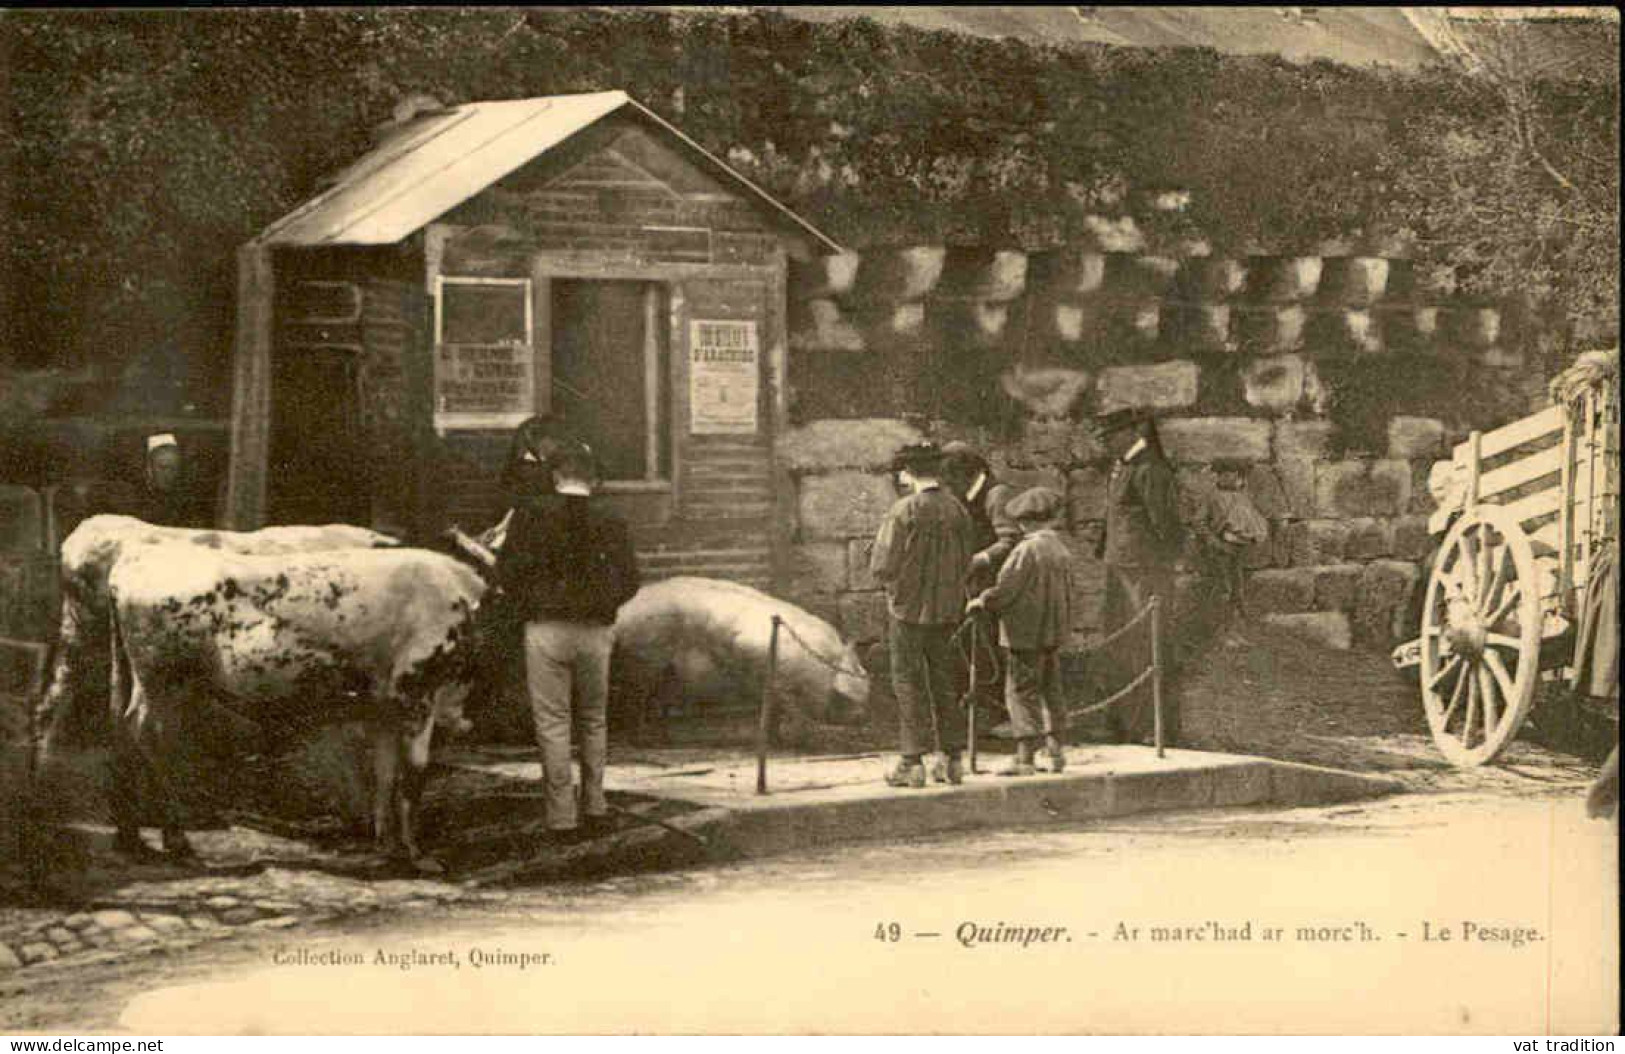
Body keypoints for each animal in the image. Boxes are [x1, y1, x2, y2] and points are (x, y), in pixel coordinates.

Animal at [105, 542, 484, 870]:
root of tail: (137, 557)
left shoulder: (385, 707)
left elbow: (385, 775)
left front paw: (390, 847)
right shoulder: (418, 693)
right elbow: (414, 775)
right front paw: (418, 855)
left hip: (142, 679)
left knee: (123, 729)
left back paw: (130, 838)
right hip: (163, 680)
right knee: (149, 736)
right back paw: (177, 840)